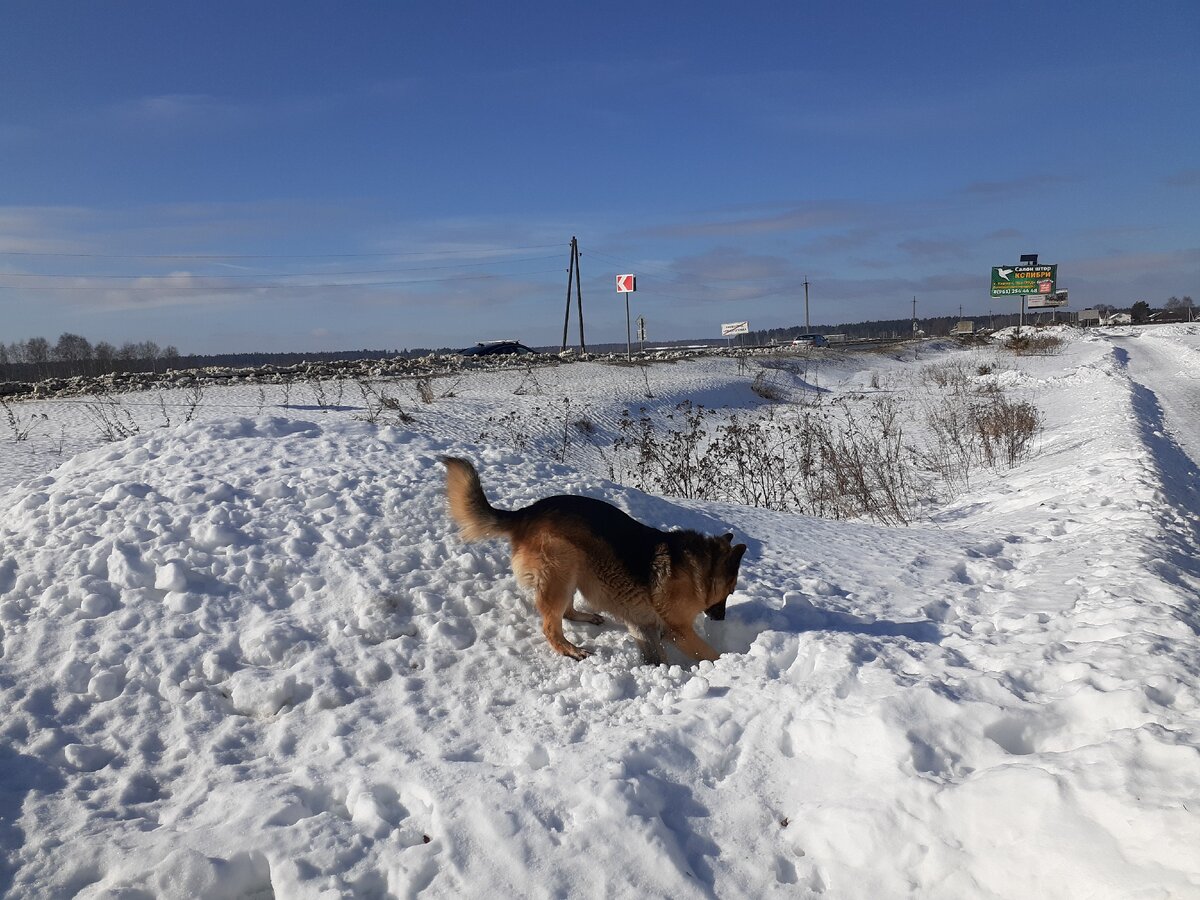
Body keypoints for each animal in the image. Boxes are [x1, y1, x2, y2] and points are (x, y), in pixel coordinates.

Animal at [441, 460, 739, 667]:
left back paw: (586, 617)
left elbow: (656, 654)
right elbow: (708, 653)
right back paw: (571, 650)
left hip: (574, 569)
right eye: (731, 591)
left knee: (566, 612)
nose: (721, 618)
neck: (699, 569)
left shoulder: (644, 626)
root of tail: (525, 514)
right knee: (550, 626)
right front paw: (724, 664)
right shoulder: (680, 632)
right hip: (561, 565)